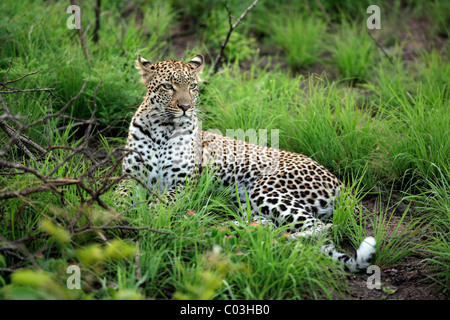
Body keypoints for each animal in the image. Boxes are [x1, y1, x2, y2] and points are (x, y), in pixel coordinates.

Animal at [120, 54, 376, 272]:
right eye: (167, 86)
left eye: (192, 87)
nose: (186, 107)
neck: (161, 129)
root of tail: (339, 182)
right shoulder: (129, 175)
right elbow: (120, 197)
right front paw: (121, 214)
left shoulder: (182, 183)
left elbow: (161, 204)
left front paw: (148, 217)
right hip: (250, 202)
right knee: (273, 224)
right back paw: (228, 228)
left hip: (266, 189)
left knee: (321, 228)